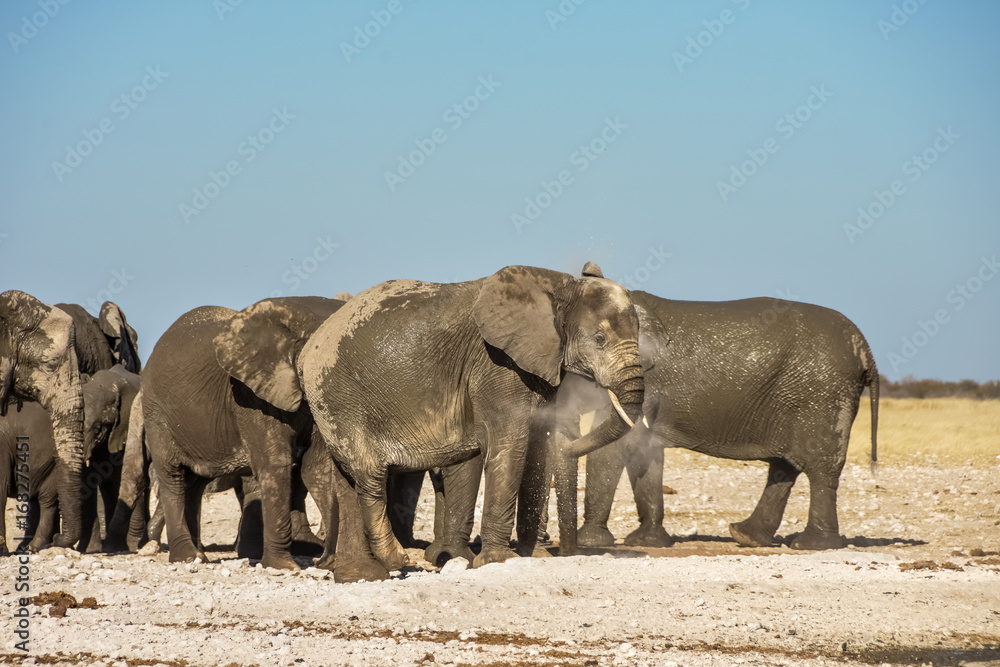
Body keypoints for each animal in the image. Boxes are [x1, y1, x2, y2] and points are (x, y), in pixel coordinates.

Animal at [105, 296, 345, 570]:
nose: (323, 561)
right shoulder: (249, 395)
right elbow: (274, 464)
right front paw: (283, 567)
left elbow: (317, 468)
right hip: (156, 413)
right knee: (172, 476)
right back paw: (187, 557)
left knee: (193, 483)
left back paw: (199, 555)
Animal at [298, 265, 645, 575]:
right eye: (599, 338)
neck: (560, 285)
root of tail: (307, 350)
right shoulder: (497, 364)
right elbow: (509, 442)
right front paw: (498, 561)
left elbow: (527, 447)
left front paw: (528, 557)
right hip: (338, 396)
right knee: (369, 474)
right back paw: (397, 560)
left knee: (348, 480)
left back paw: (367, 572)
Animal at [557, 267, 879, 551]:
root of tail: (865, 348)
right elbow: (644, 451)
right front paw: (647, 542)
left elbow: (615, 449)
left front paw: (592, 542)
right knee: (784, 467)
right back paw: (746, 536)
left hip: (824, 395)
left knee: (820, 467)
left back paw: (811, 545)